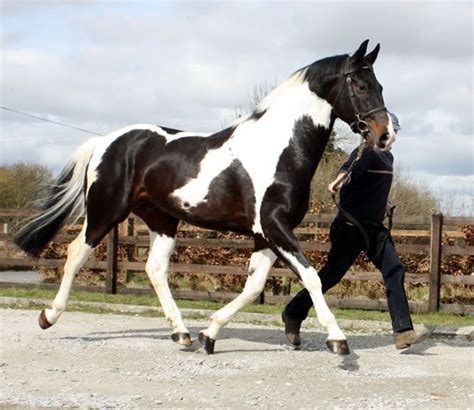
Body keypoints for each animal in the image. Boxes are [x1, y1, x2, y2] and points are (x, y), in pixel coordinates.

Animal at [13, 40, 396, 356]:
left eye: (380, 86)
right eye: (361, 86)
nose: (386, 135)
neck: (279, 148)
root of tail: (107, 141)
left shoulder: (265, 235)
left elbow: (254, 285)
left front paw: (209, 334)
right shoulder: (273, 226)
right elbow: (311, 276)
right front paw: (338, 340)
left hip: (163, 220)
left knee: (155, 268)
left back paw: (182, 334)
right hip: (105, 212)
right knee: (76, 253)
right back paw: (48, 316)